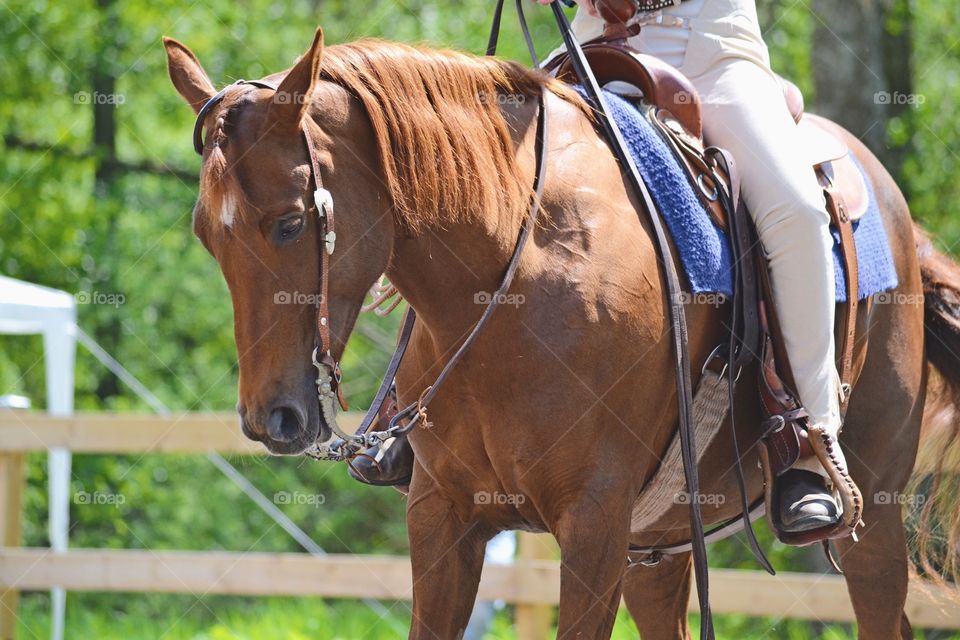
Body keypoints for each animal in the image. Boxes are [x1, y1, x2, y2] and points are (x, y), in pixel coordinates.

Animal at [165, 26, 960, 640]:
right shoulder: (442, 518)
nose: (272, 418)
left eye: (291, 222)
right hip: (658, 548)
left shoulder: (593, 525)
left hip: (871, 525)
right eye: (207, 234)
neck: (511, 282)